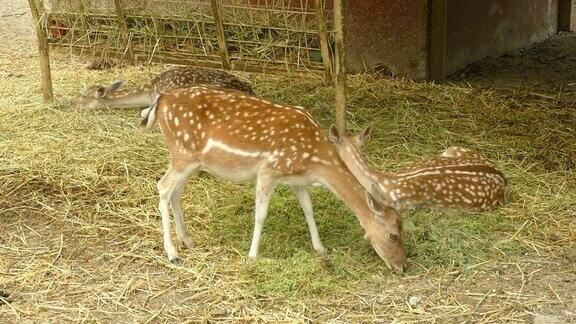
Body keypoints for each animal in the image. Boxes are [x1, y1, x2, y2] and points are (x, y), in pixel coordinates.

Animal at [141, 86, 404, 274]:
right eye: (394, 235)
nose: (401, 266)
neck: (315, 161)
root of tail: (161, 100)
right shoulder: (268, 170)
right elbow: (261, 214)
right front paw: (252, 255)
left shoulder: (298, 180)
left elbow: (308, 210)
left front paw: (320, 248)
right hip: (182, 153)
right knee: (163, 187)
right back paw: (172, 253)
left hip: (190, 160)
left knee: (176, 192)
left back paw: (187, 240)